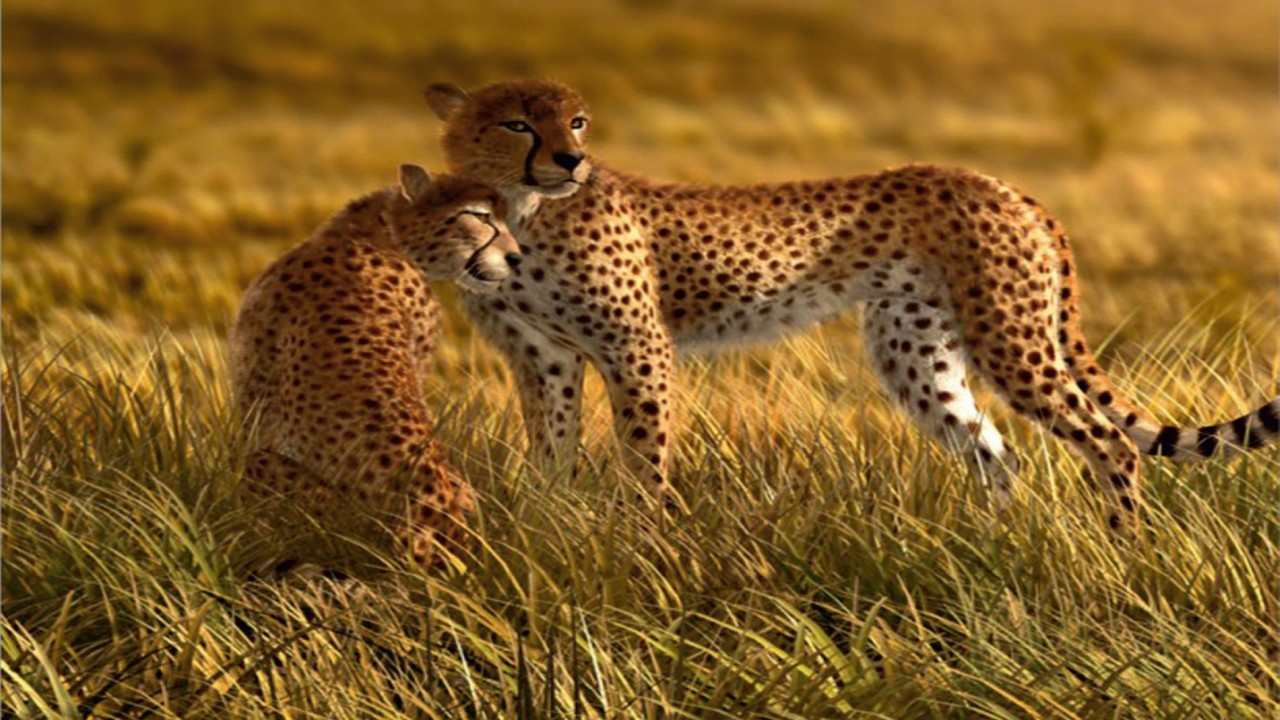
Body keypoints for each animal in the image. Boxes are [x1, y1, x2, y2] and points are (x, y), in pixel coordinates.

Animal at [423, 78, 1279, 534]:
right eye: (516, 121)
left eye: (576, 120)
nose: (573, 158)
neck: (520, 209)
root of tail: (1000, 182)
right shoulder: (544, 357)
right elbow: (551, 448)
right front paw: (554, 526)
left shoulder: (637, 346)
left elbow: (644, 451)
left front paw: (648, 540)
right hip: (916, 350)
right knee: (993, 449)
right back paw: (996, 547)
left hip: (1010, 337)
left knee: (1108, 442)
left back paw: (1122, 549)